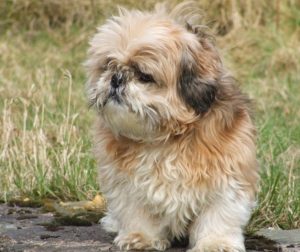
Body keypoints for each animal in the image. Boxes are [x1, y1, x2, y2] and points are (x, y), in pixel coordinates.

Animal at [84, 1, 258, 252]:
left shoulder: (227, 178)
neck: (165, 138)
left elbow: (218, 215)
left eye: (144, 75)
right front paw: (141, 237)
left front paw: (215, 242)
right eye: (108, 65)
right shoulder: (127, 185)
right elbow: (137, 213)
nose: (116, 79)